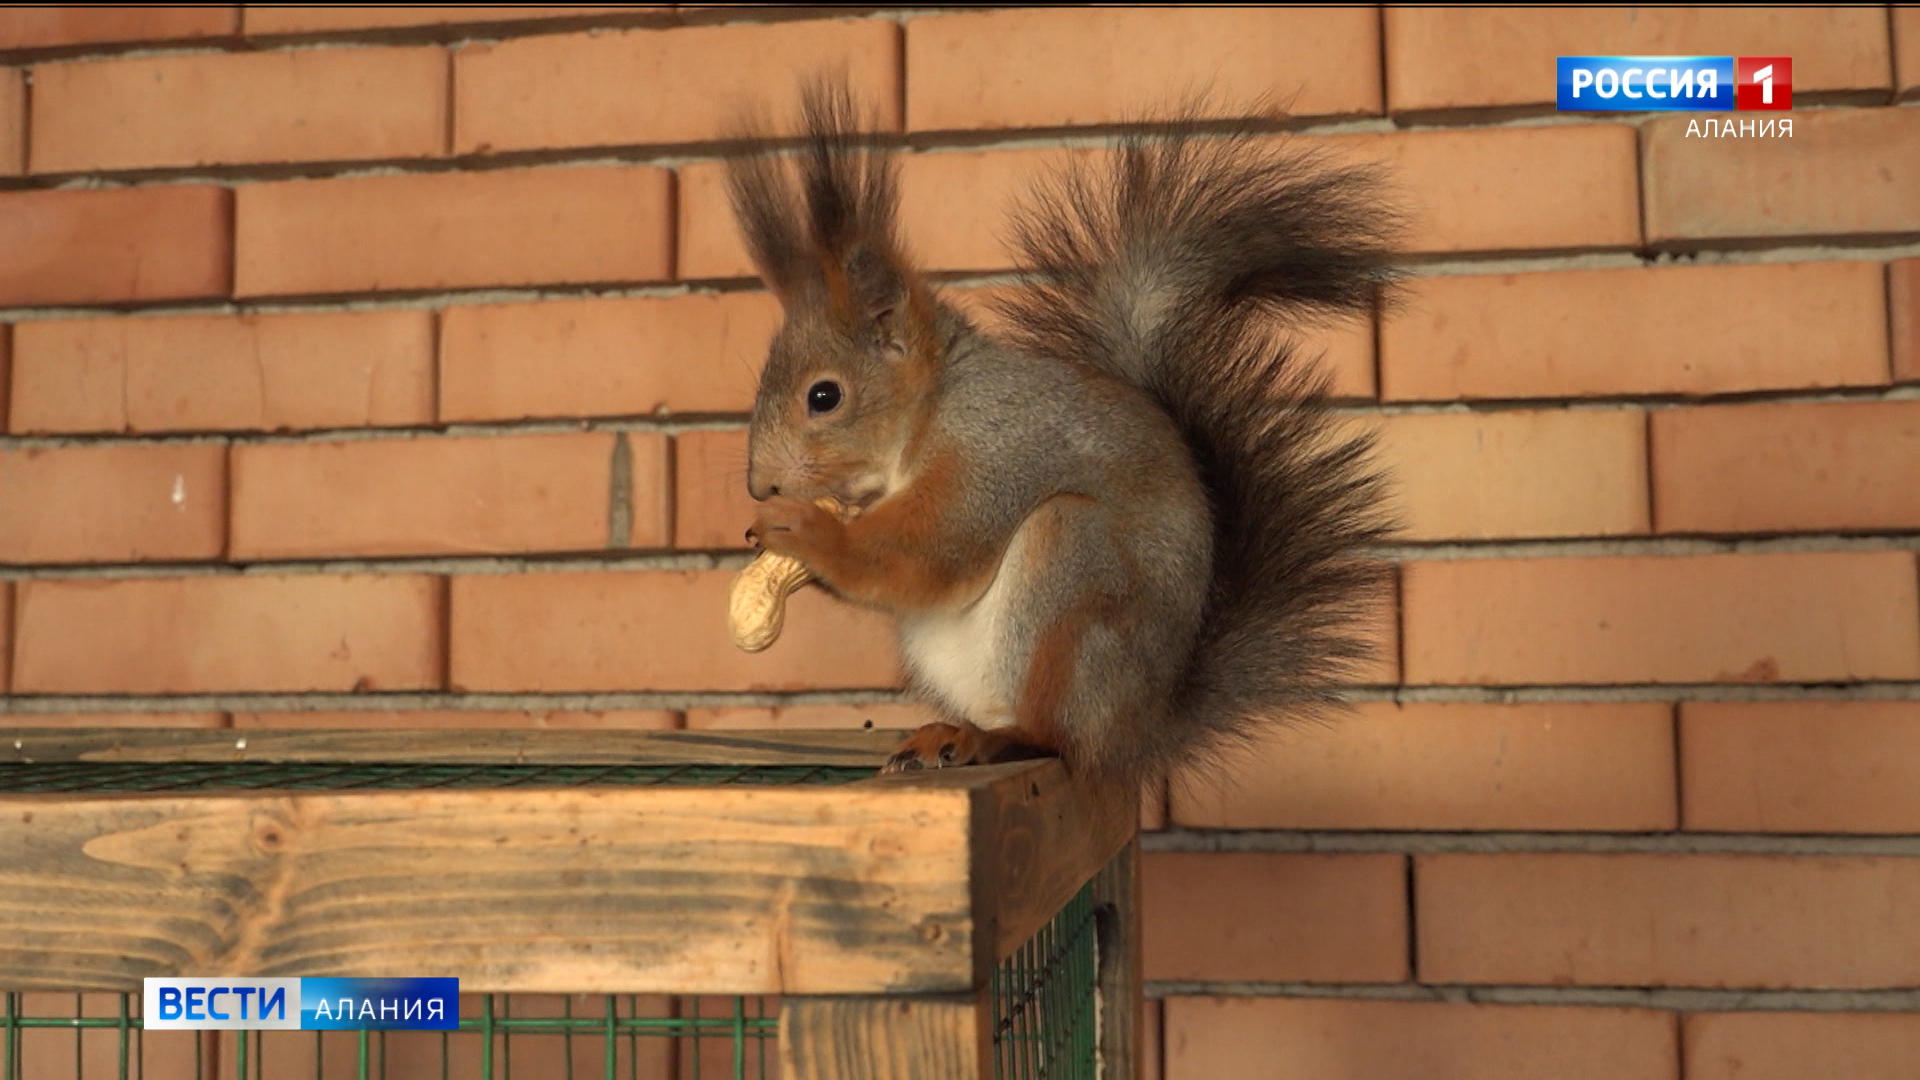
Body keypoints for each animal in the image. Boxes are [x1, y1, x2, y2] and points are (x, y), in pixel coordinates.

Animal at [725, 84, 1405, 787]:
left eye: (823, 397)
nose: (759, 484)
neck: (933, 408)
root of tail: (1140, 734)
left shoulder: (994, 449)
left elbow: (929, 549)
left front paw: (803, 530)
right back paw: (946, 734)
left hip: (1076, 581)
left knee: (1059, 736)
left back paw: (1001, 738)